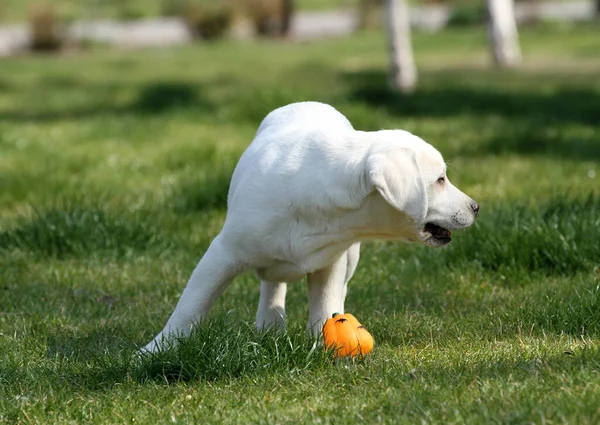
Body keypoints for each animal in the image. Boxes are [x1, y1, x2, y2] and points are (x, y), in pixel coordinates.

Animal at [142, 100, 478, 352]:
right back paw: (270, 323)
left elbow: (325, 306)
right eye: (440, 180)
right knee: (271, 284)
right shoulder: (223, 252)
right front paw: (154, 350)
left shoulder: (332, 260)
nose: (476, 207)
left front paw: (326, 345)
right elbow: (191, 305)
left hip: (351, 258)